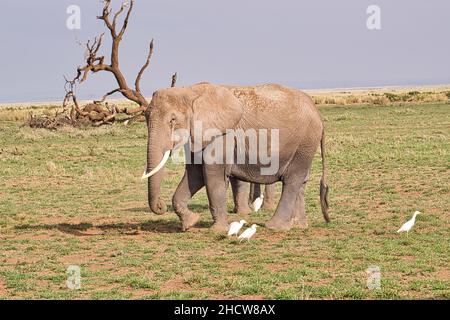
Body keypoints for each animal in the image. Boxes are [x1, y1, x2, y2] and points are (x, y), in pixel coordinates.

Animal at [142, 82, 328, 232]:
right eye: (145, 117)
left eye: (173, 120)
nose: (161, 206)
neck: (190, 91)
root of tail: (318, 114)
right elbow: (195, 175)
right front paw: (190, 223)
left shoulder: (222, 134)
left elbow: (212, 175)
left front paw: (217, 230)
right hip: (304, 144)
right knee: (301, 182)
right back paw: (298, 225)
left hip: (304, 143)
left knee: (292, 180)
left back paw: (275, 227)